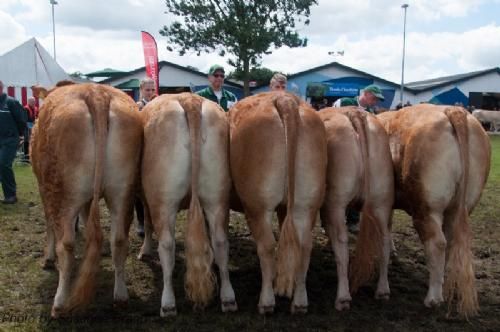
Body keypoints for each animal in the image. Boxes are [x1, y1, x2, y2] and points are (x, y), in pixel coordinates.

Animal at [30, 82, 143, 316]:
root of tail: (96, 93)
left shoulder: (44, 190)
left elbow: (49, 226)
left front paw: (47, 259)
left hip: (64, 194)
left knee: (67, 244)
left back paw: (59, 303)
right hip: (123, 192)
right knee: (119, 240)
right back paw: (120, 297)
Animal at [138, 92, 237, 316]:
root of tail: (189, 100)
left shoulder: (147, 198)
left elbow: (147, 223)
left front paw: (144, 250)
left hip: (163, 200)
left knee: (167, 245)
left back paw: (167, 303)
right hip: (217, 194)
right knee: (220, 240)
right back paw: (228, 298)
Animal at [228, 91, 328, 314]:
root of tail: (285, 98)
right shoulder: (285, 208)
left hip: (258, 206)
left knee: (266, 246)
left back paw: (266, 302)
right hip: (305, 204)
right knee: (304, 245)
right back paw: (299, 301)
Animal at [316, 107, 394, 312]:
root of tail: (353, 112)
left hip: (336, 202)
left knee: (341, 242)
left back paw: (343, 298)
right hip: (382, 201)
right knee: (384, 239)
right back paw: (383, 290)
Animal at [376, 105, 490, 318]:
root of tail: (452, 110)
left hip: (427, 207)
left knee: (437, 243)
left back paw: (433, 298)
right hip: (460, 207)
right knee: (450, 242)